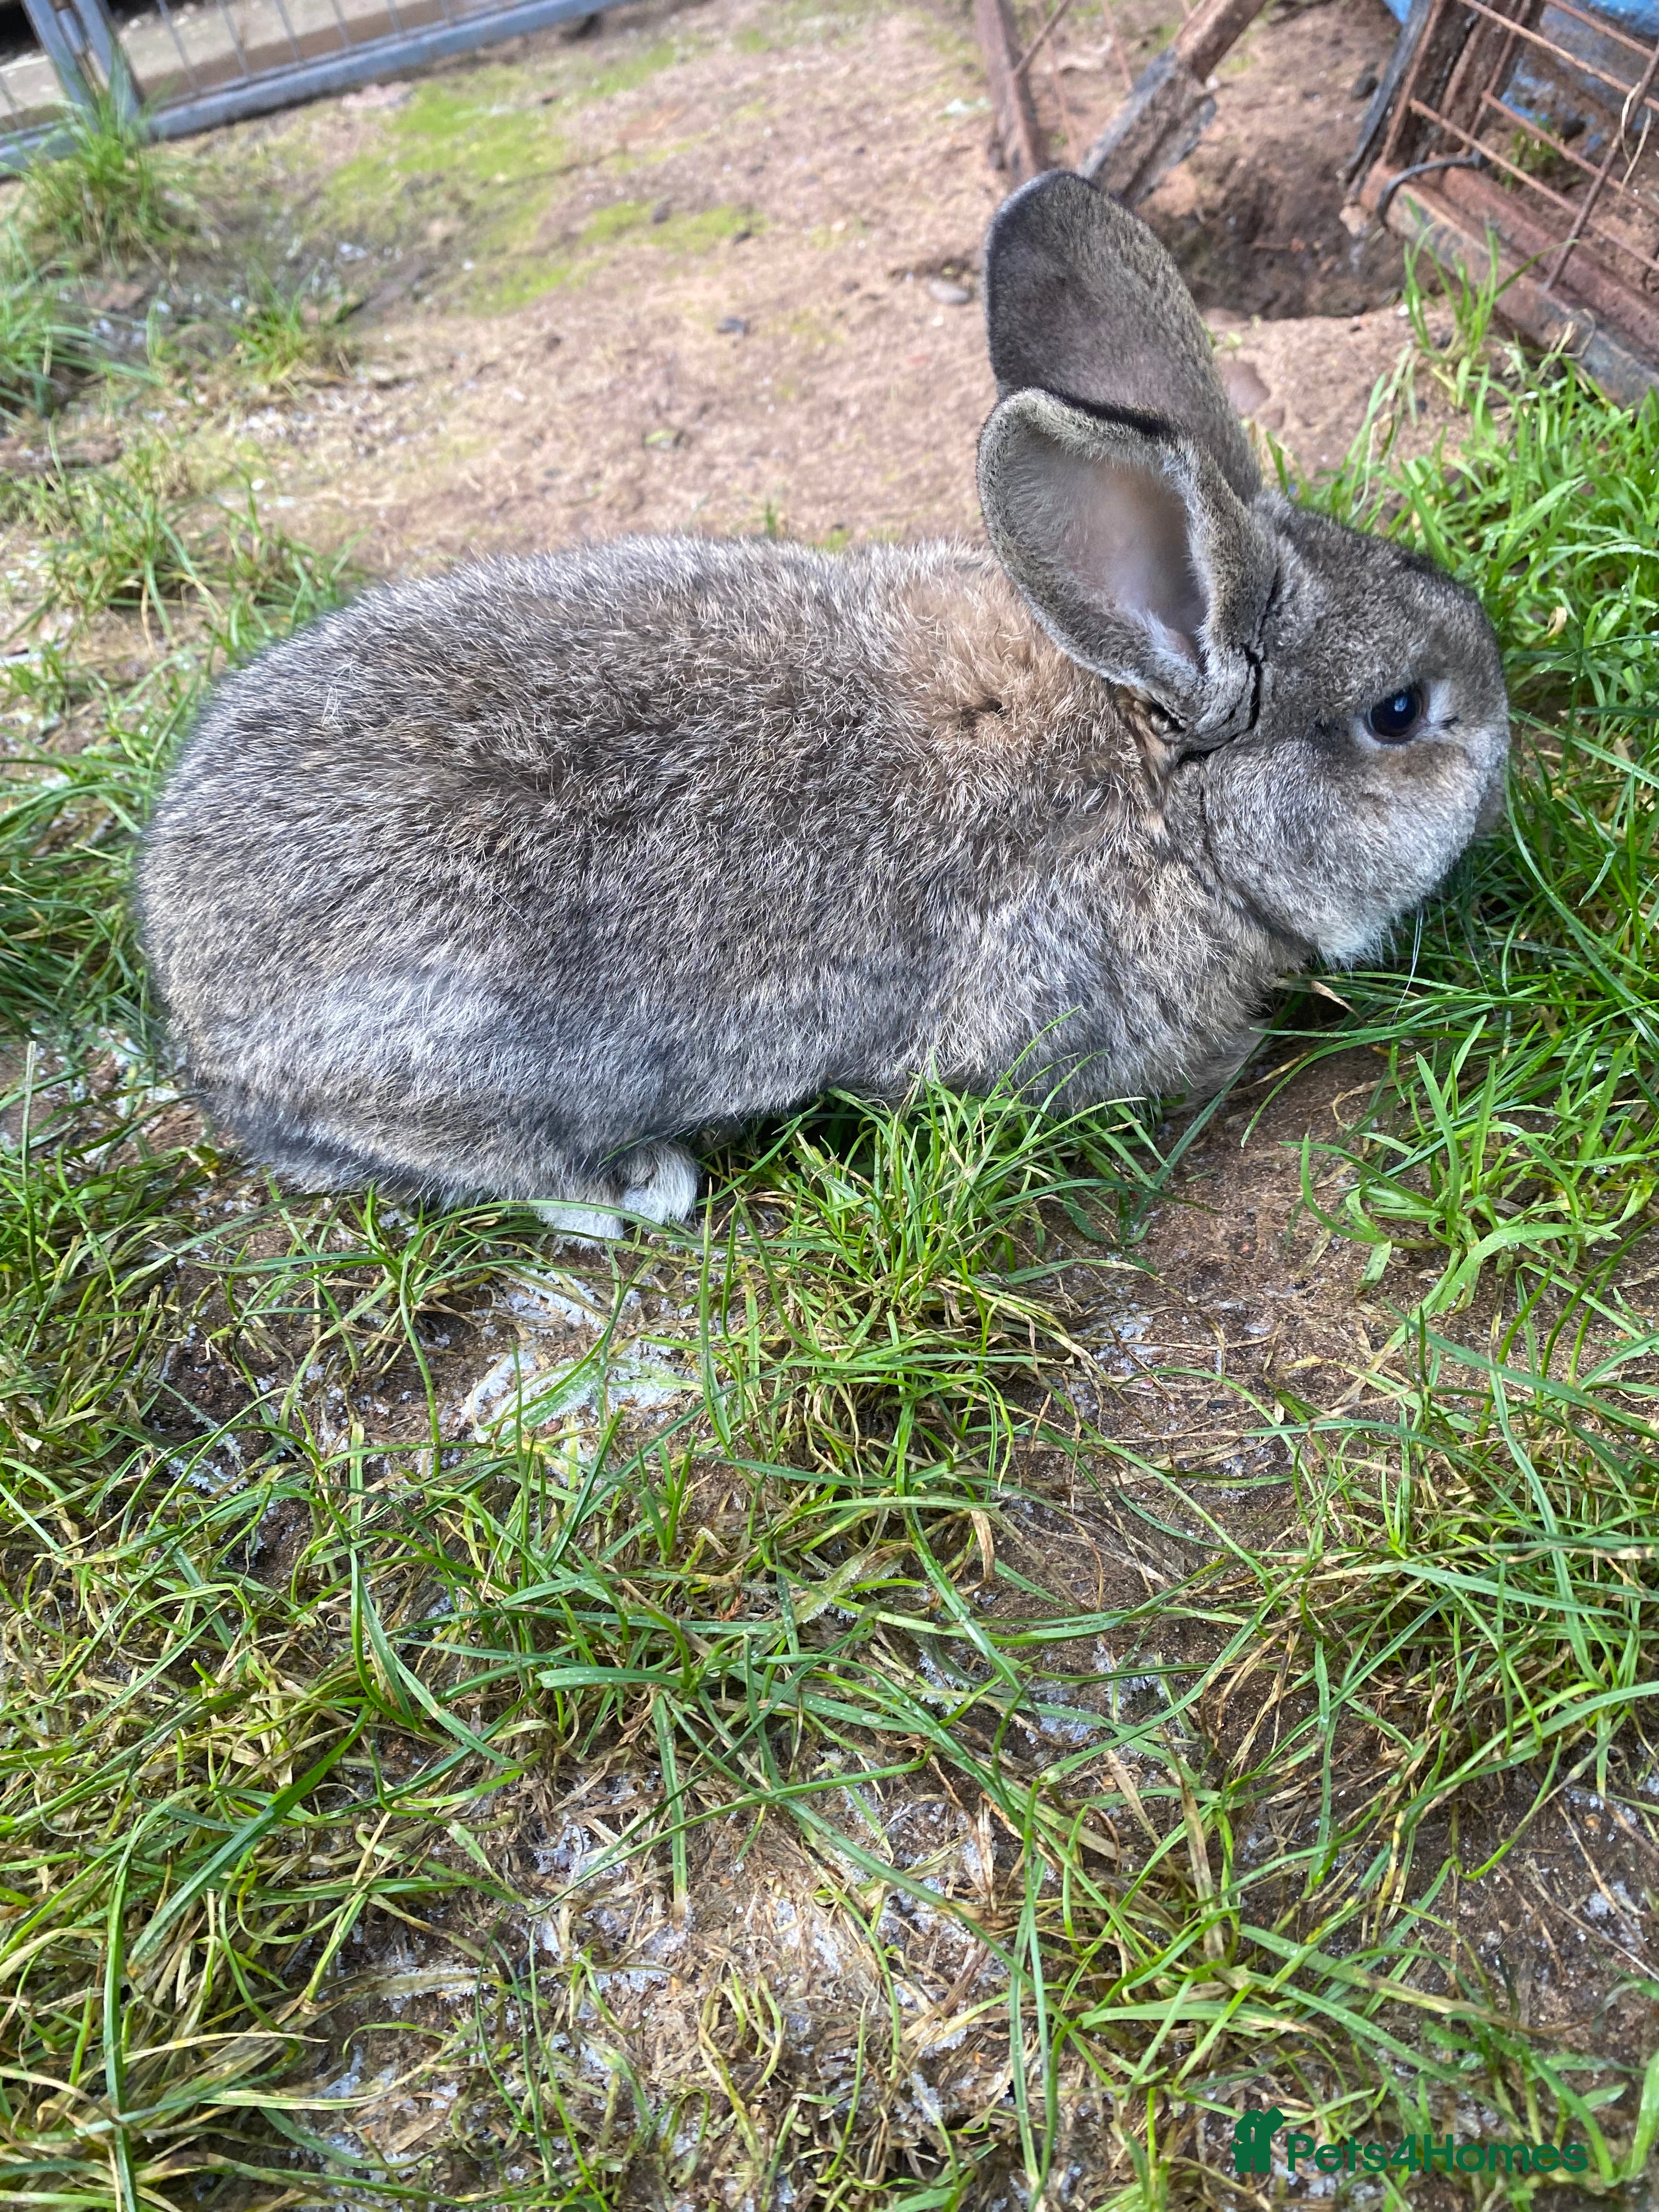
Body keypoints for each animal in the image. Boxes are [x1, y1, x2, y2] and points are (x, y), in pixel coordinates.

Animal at [136, 171, 1509, 1238]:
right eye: (1399, 712)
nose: (1502, 742)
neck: (1156, 776)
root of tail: (190, 990)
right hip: (454, 1066)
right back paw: (642, 1186)